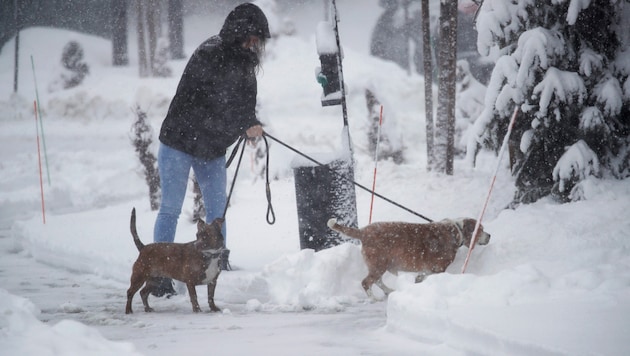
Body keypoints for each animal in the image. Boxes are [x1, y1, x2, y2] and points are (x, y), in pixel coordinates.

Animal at [328, 217, 492, 298]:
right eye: (481, 229)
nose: (489, 235)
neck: (456, 231)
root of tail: (363, 231)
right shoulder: (439, 268)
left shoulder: (428, 269)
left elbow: (421, 276)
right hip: (379, 264)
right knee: (366, 282)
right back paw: (373, 299)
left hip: (379, 265)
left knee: (378, 281)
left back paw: (388, 291)